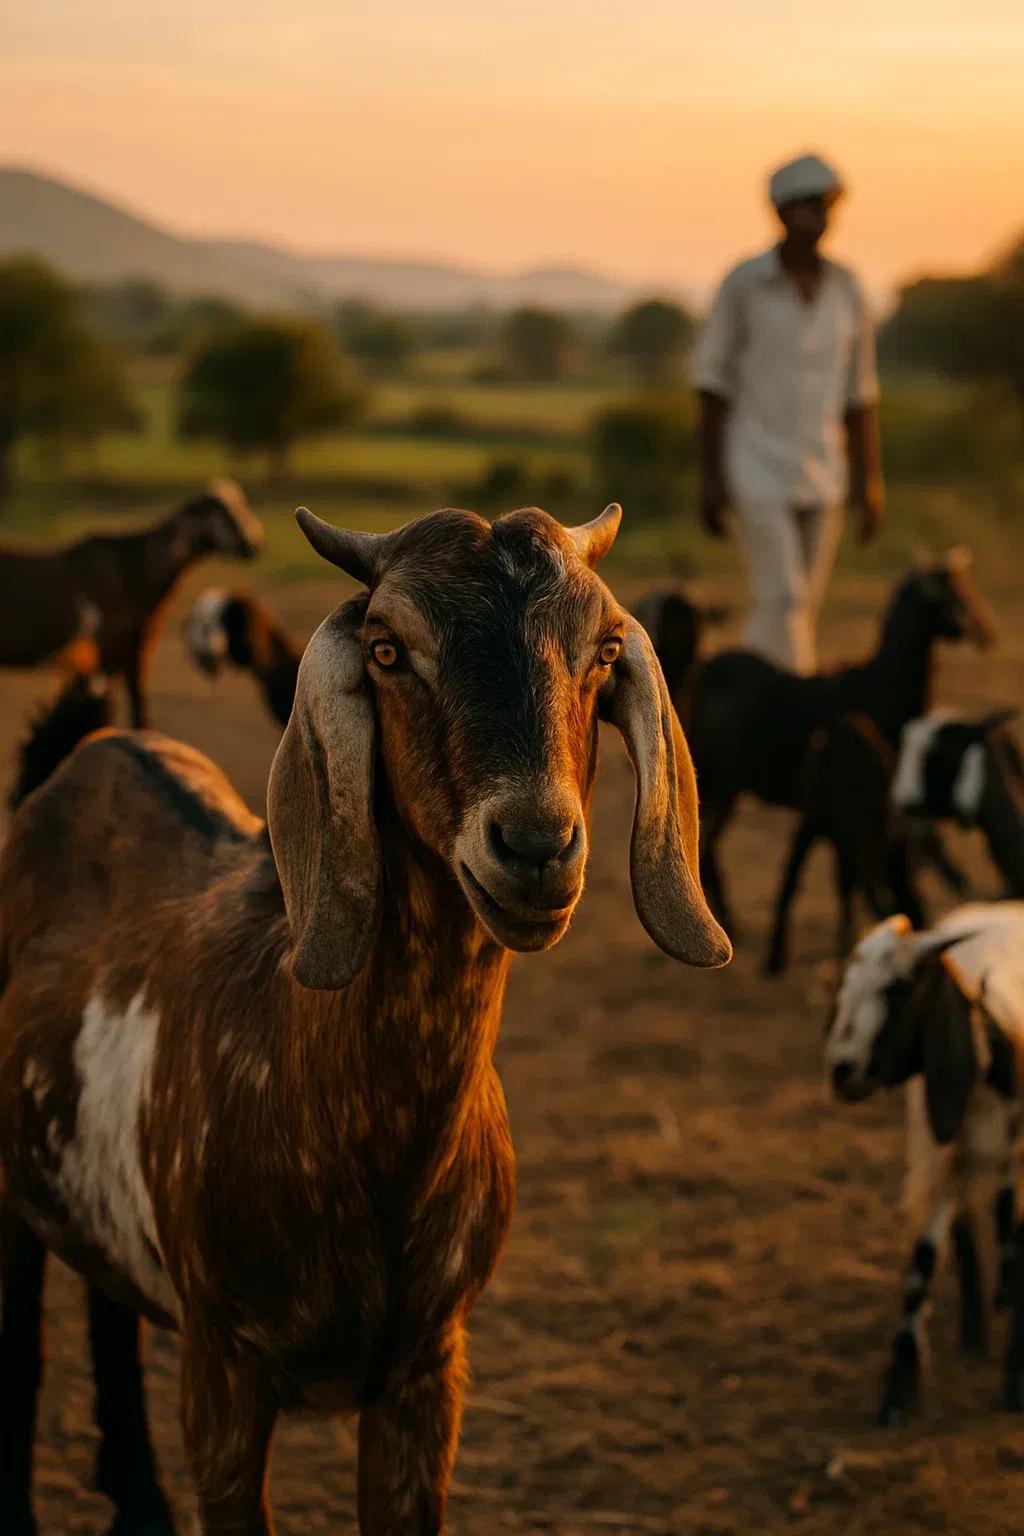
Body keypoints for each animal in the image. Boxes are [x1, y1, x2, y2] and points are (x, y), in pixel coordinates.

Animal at [0, 481, 263, 728]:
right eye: (223, 513)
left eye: (242, 505)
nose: (254, 544)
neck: (135, 568)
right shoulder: (107, 652)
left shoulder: (137, 648)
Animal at [689, 548, 997, 933]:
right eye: (950, 593)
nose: (987, 634)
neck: (877, 685)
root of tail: (701, 675)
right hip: (721, 785)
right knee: (706, 849)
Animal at [764, 713, 924, 975]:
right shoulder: (843, 842)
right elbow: (844, 893)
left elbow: (846, 894)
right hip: (814, 823)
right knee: (795, 874)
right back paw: (775, 958)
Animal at [825, 905, 1024, 1423]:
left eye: (897, 989)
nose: (840, 1071)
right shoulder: (939, 1156)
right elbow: (922, 1263)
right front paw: (898, 1388)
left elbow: (1016, 1246)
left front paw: (1014, 1384)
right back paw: (975, 1327)